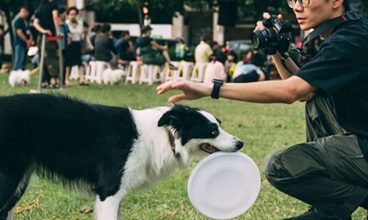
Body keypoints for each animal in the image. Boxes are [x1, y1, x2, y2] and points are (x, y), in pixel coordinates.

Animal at [0, 93, 244, 219]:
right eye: (213, 131)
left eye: (219, 125)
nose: (241, 143)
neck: (162, 135)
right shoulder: (109, 192)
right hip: (9, 179)